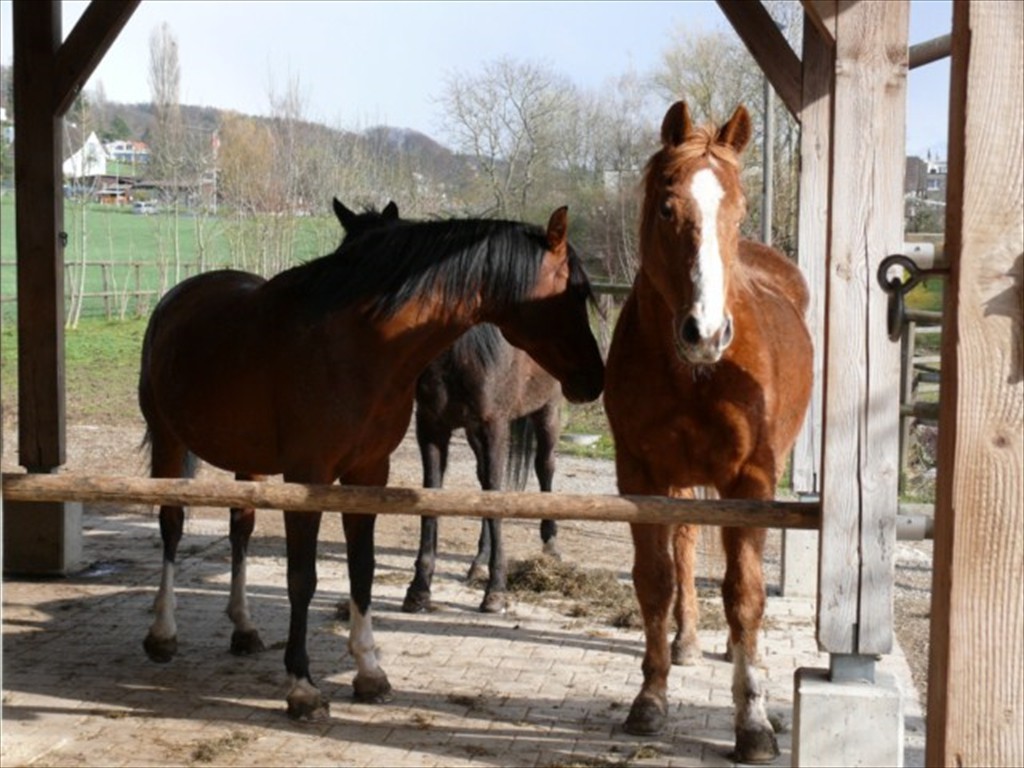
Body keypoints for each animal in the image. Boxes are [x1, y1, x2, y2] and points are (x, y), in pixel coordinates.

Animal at [331, 196, 565, 614]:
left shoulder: (494, 426)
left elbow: (496, 495)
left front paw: (497, 590)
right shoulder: (433, 428)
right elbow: (435, 494)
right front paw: (419, 588)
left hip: (546, 412)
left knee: (544, 467)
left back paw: (550, 548)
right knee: (483, 480)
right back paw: (476, 564)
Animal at [602, 102, 811, 765]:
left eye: (739, 210)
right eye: (668, 208)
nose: (707, 332)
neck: (695, 374)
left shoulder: (751, 480)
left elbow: (746, 595)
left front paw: (754, 722)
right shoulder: (641, 476)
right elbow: (656, 582)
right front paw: (651, 698)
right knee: (687, 547)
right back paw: (687, 642)